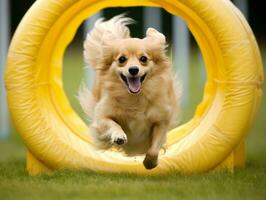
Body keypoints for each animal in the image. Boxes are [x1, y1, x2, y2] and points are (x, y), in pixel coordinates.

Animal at [78, 14, 181, 170]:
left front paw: (150, 163)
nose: (133, 69)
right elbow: (112, 123)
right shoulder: (101, 117)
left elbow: (154, 148)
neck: (135, 97)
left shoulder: (161, 121)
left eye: (143, 58)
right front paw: (119, 136)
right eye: (122, 59)